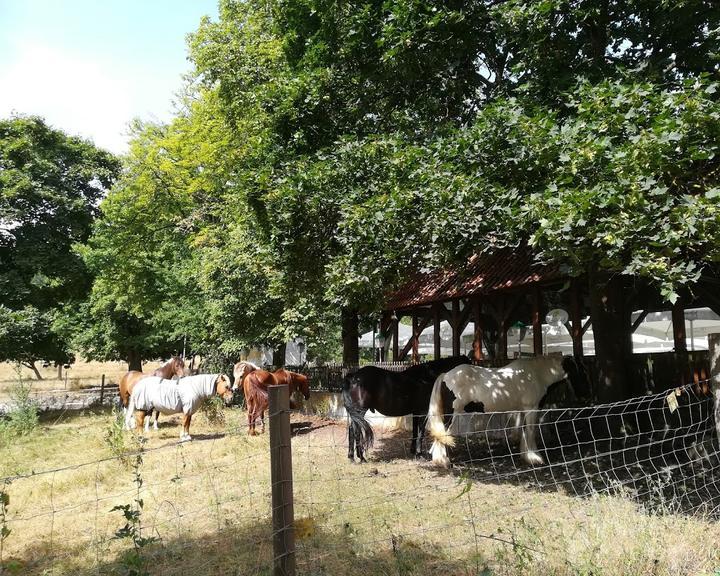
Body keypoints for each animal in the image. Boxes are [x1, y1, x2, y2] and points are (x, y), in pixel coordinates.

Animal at [344, 356, 472, 464]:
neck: (427, 377)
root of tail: (354, 377)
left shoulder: (416, 412)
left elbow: (415, 432)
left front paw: (413, 451)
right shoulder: (423, 412)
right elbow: (421, 432)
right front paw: (419, 454)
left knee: (352, 429)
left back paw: (351, 457)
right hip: (360, 411)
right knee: (355, 430)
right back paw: (361, 458)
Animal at [424, 356, 584, 468]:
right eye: (578, 370)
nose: (584, 394)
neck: (536, 375)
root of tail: (445, 375)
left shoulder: (522, 410)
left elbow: (523, 431)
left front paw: (526, 456)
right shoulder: (531, 408)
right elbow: (531, 431)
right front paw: (535, 458)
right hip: (451, 415)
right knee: (442, 434)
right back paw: (443, 461)